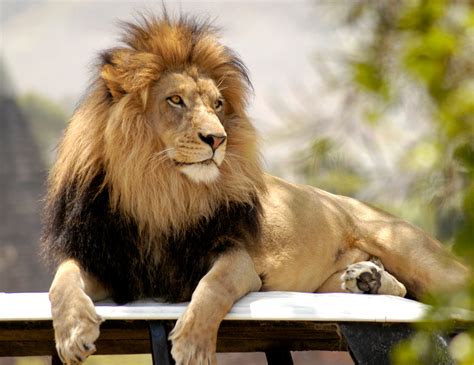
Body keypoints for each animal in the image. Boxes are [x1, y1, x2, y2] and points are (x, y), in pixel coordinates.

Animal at [43, 13, 470, 364]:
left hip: (418, 255)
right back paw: (367, 279)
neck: (161, 190)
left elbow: (213, 286)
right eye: (175, 100)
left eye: (217, 104)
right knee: (401, 293)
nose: (217, 139)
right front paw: (73, 333)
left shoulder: (236, 256)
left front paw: (193, 346)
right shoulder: (107, 259)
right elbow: (61, 281)